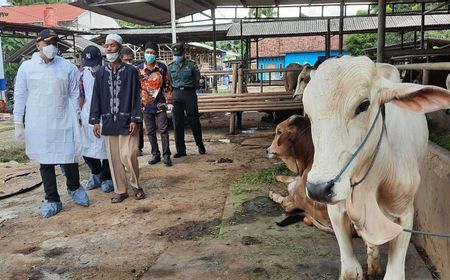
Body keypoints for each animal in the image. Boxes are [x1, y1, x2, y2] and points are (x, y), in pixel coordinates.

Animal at [300, 55, 450, 280]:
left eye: (363, 105)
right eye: (308, 115)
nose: (319, 188)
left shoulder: (404, 213)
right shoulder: (336, 209)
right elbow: (351, 270)